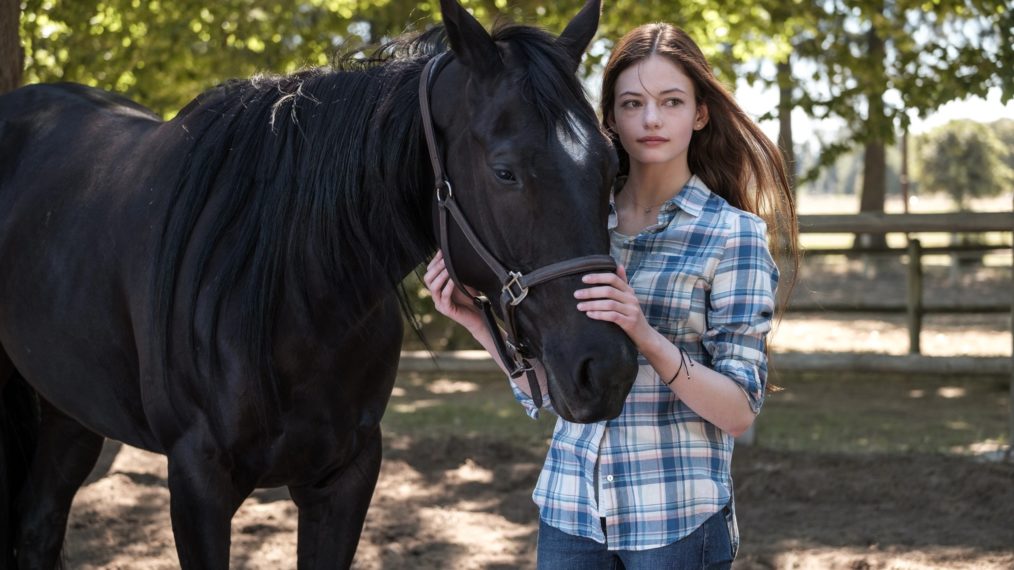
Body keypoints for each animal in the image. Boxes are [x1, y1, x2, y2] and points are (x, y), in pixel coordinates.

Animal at [0, 0, 632, 563]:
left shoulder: (345, 478)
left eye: (611, 167)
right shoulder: (197, 483)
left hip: (71, 413)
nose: (606, 370)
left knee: (37, 527)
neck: (291, 295)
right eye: (505, 172)